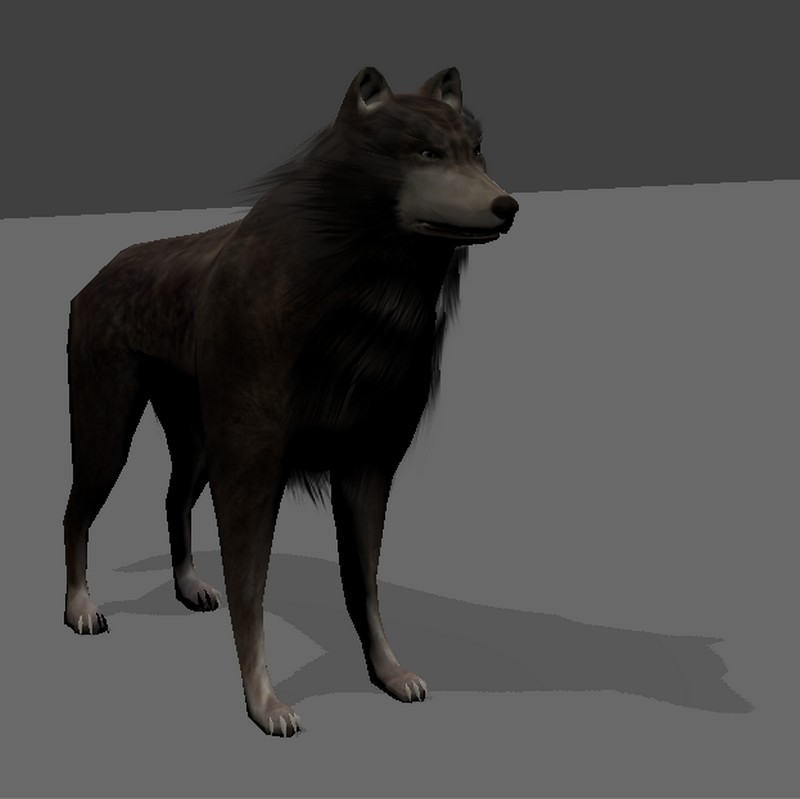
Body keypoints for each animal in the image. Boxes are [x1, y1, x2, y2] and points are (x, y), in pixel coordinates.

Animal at [63, 66, 518, 737]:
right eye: (426, 152)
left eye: (477, 150)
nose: (508, 206)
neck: (353, 298)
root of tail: (98, 273)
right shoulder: (254, 467)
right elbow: (251, 590)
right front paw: (264, 703)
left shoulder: (367, 467)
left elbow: (364, 586)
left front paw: (388, 672)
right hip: (108, 436)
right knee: (75, 514)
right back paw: (79, 609)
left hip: (197, 445)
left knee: (172, 501)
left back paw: (188, 586)